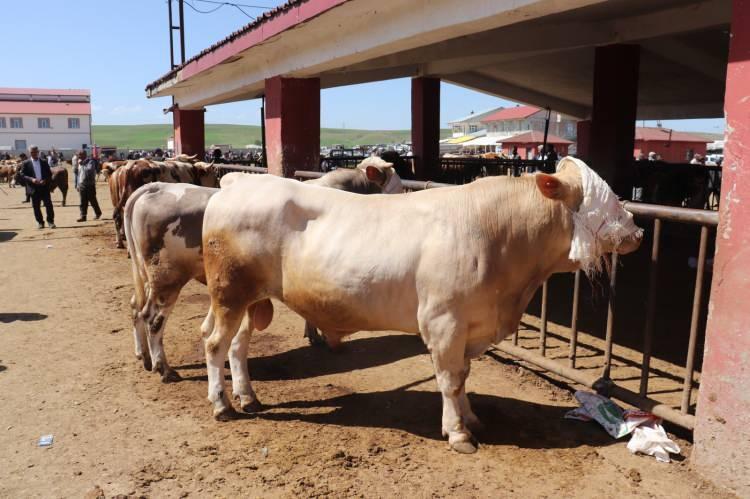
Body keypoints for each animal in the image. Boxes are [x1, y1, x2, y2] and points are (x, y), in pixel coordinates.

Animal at [125, 158, 406, 384]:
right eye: (398, 186)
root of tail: (154, 187)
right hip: (167, 279)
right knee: (152, 319)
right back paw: (164, 368)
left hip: (147, 277)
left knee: (136, 308)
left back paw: (144, 357)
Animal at [201, 156, 648, 454]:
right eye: (605, 198)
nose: (639, 232)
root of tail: (239, 183)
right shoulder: (443, 322)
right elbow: (449, 380)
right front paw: (458, 433)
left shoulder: (471, 326)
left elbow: (463, 377)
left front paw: (471, 418)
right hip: (230, 293)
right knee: (214, 344)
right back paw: (222, 404)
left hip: (250, 299)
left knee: (236, 346)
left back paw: (247, 396)